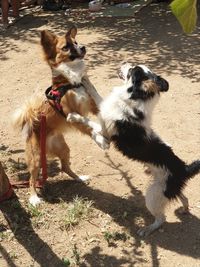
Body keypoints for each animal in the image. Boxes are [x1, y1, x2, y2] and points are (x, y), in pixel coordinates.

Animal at [12, 26, 108, 207]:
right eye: (66, 47)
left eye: (76, 42)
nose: (83, 47)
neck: (71, 83)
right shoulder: (70, 113)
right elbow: (89, 125)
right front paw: (101, 138)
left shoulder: (92, 106)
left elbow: (96, 116)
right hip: (35, 158)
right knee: (32, 180)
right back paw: (34, 198)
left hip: (64, 149)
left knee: (65, 168)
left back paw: (79, 178)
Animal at [67, 63, 200, 238]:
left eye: (132, 71)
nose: (124, 62)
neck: (134, 100)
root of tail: (184, 169)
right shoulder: (104, 108)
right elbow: (96, 94)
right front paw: (85, 79)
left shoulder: (105, 133)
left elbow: (89, 123)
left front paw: (74, 117)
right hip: (166, 190)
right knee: (183, 197)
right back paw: (184, 209)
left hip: (153, 195)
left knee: (161, 219)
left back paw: (147, 229)